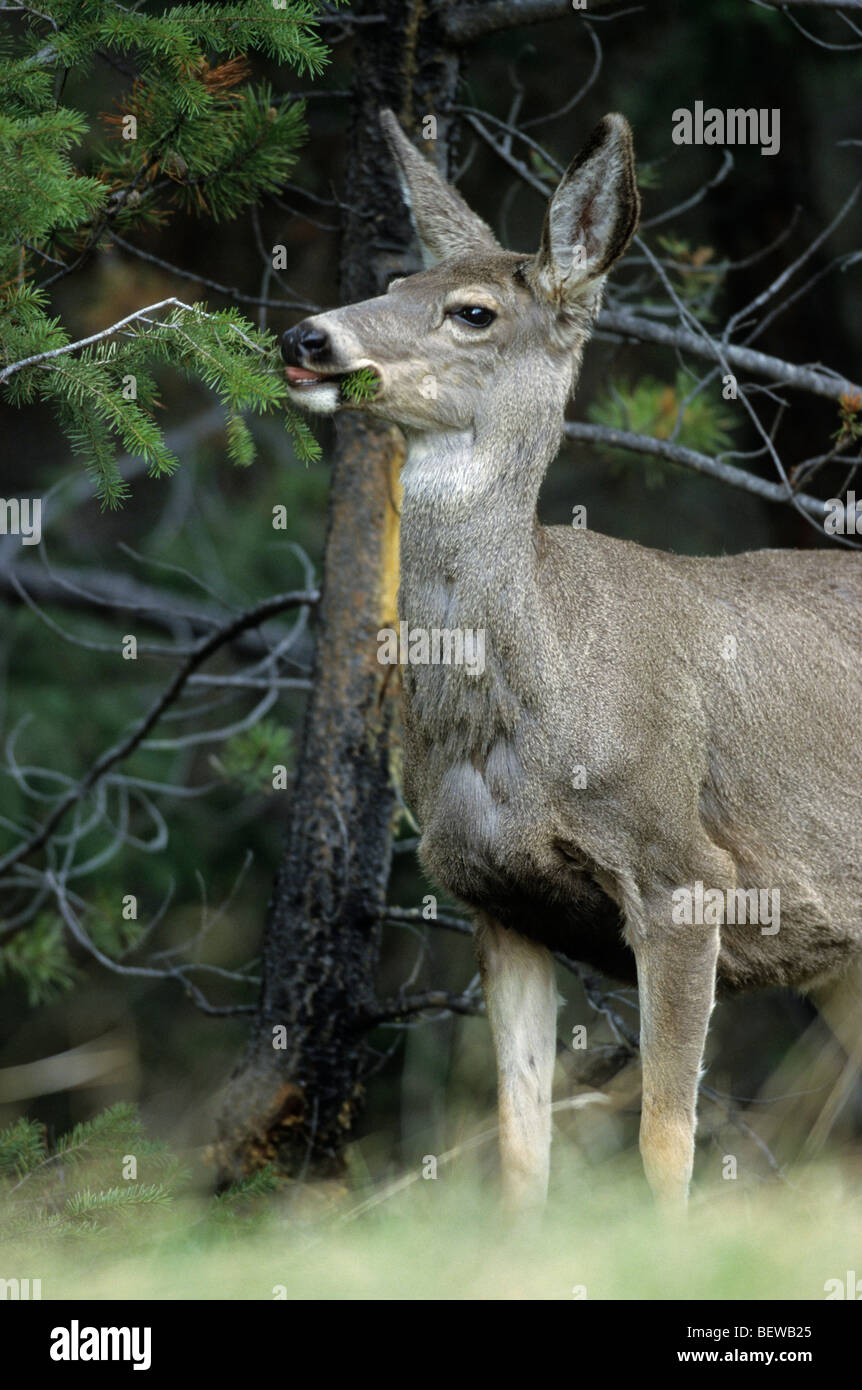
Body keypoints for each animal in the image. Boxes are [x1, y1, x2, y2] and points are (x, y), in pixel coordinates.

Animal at [280, 108, 862, 1212]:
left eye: (470, 311)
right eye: (393, 277)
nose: (305, 336)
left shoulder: (685, 873)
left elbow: (664, 1142)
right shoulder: (492, 896)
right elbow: (520, 1147)